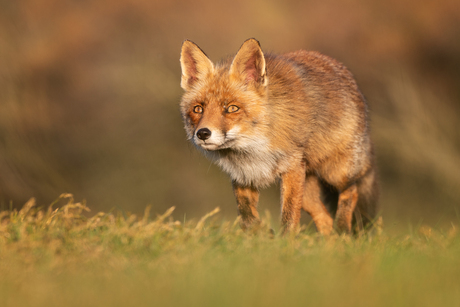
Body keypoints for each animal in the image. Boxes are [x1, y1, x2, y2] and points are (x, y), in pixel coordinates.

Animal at [179, 39, 378, 236]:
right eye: (198, 109)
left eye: (232, 108)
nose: (203, 133)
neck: (251, 148)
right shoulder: (243, 176)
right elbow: (246, 216)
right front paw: (263, 234)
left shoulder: (292, 168)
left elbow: (289, 216)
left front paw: (286, 242)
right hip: (307, 193)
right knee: (324, 218)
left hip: (336, 173)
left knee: (351, 191)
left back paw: (343, 230)